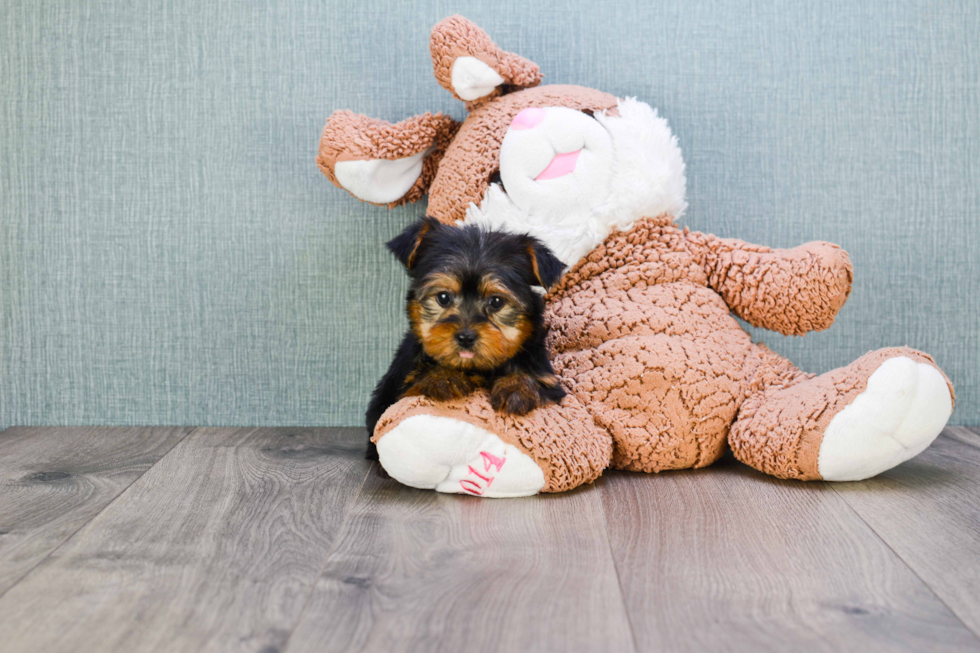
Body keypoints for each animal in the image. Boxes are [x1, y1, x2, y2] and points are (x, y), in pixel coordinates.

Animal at [366, 216, 568, 456]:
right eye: (443, 297)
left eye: (496, 301)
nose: (465, 337)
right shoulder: (399, 389)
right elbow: (413, 388)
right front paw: (443, 377)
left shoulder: (550, 384)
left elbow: (536, 382)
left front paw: (516, 387)